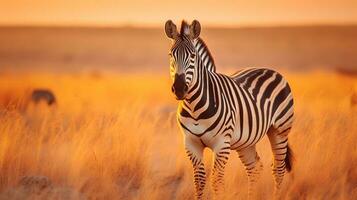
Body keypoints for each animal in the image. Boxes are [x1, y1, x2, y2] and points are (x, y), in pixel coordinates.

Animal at [164, 19, 292, 198]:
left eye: (193, 56)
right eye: (171, 55)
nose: (179, 89)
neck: (194, 107)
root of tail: (271, 70)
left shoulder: (222, 144)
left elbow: (216, 181)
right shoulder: (191, 144)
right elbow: (199, 181)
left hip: (280, 130)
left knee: (278, 169)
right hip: (246, 141)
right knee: (255, 168)